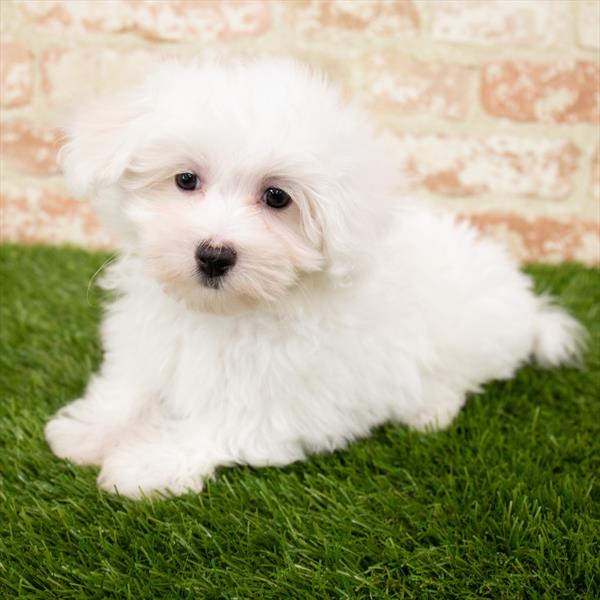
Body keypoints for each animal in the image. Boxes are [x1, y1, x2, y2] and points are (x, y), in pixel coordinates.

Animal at [45, 59, 584, 496]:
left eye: (277, 197)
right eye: (185, 179)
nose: (214, 255)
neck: (227, 312)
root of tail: (528, 307)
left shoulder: (285, 397)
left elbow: (214, 422)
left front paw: (146, 464)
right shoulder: (152, 341)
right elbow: (131, 384)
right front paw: (91, 429)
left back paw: (429, 408)